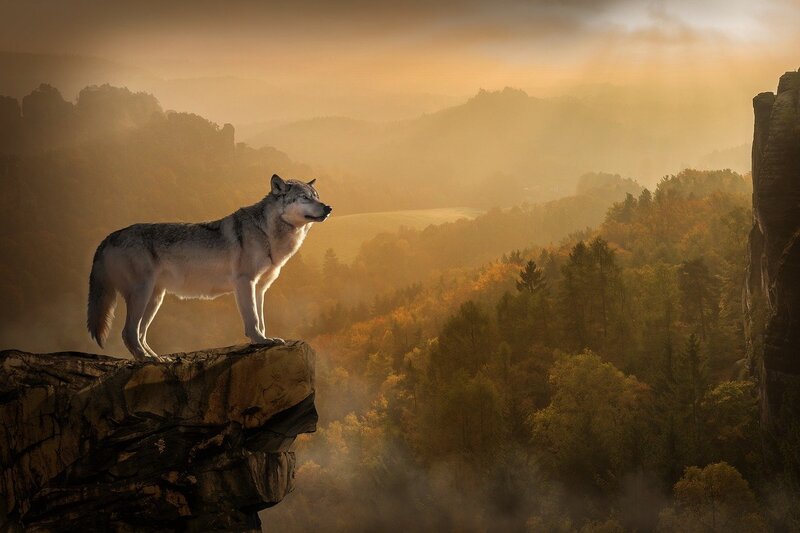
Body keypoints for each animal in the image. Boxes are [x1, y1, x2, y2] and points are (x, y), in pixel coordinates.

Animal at [84, 172, 328, 360]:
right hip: (142, 294)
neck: (267, 232)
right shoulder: (245, 283)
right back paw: (147, 359)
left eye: (317, 197)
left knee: (140, 334)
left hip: (155, 299)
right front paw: (260, 340)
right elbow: (253, 319)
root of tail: (108, 237)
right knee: (128, 332)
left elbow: (261, 320)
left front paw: (266, 339)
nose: (329, 207)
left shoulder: (260, 288)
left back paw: (157, 358)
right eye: (305, 198)